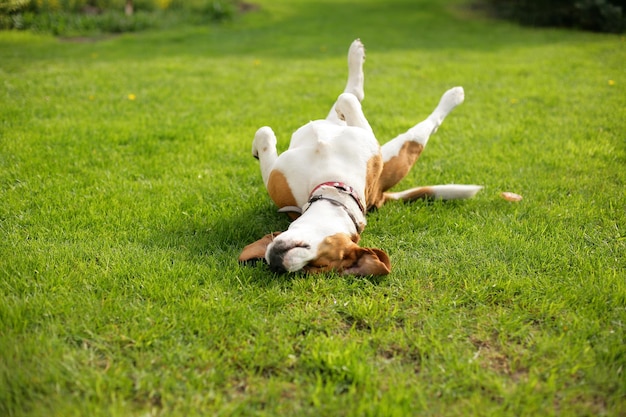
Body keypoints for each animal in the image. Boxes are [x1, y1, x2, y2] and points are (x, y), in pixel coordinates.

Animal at [236, 37, 480, 274]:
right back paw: (356, 56)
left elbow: (346, 100)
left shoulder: (366, 140)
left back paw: (454, 95)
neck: (333, 183)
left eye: (317, 266)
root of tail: (379, 196)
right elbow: (266, 130)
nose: (278, 264)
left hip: (398, 152)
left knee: (426, 125)